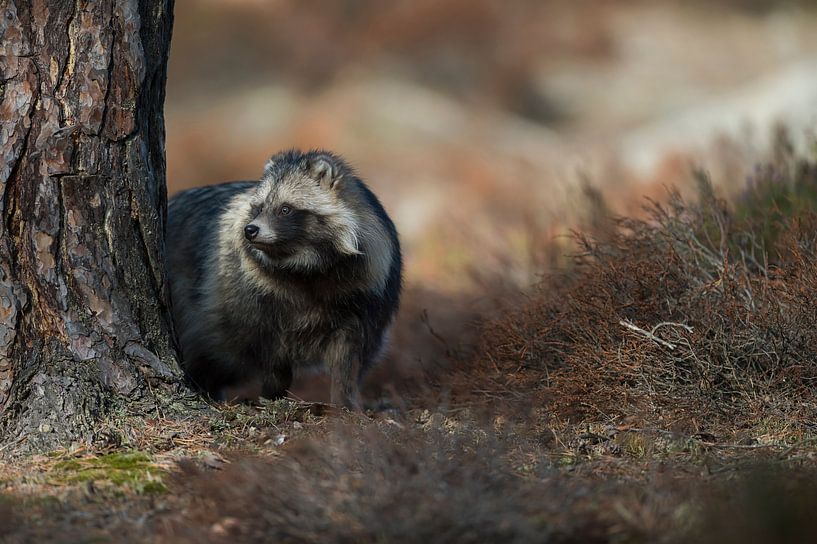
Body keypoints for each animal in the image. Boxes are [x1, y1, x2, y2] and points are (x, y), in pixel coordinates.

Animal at [167, 149, 404, 408]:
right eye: (258, 207)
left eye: (285, 209)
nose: (250, 230)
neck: (304, 264)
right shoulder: (250, 295)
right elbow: (269, 352)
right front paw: (273, 393)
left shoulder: (365, 294)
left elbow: (351, 356)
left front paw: (345, 399)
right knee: (214, 349)